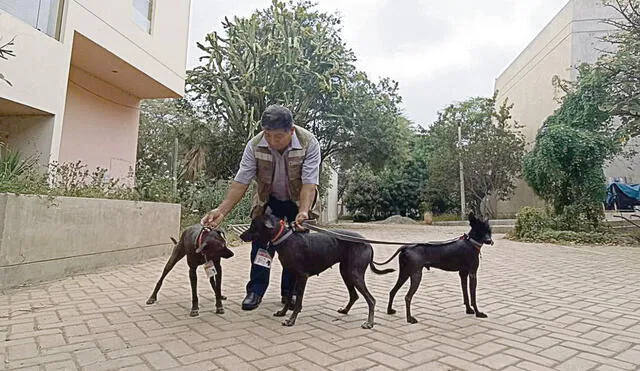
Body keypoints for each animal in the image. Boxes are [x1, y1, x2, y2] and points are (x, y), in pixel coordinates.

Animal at [238, 214, 392, 330]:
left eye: (253, 225)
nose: (241, 236)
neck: (285, 239)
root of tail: (368, 244)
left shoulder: (302, 276)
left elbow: (298, 300)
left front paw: (291, 320)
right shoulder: (291, 275)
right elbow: (288, 297)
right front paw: (283, 312)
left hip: (354, 274)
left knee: (371, 299)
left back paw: (369, 323)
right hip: (346, 272)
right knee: (354, 295)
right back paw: (345, 311)